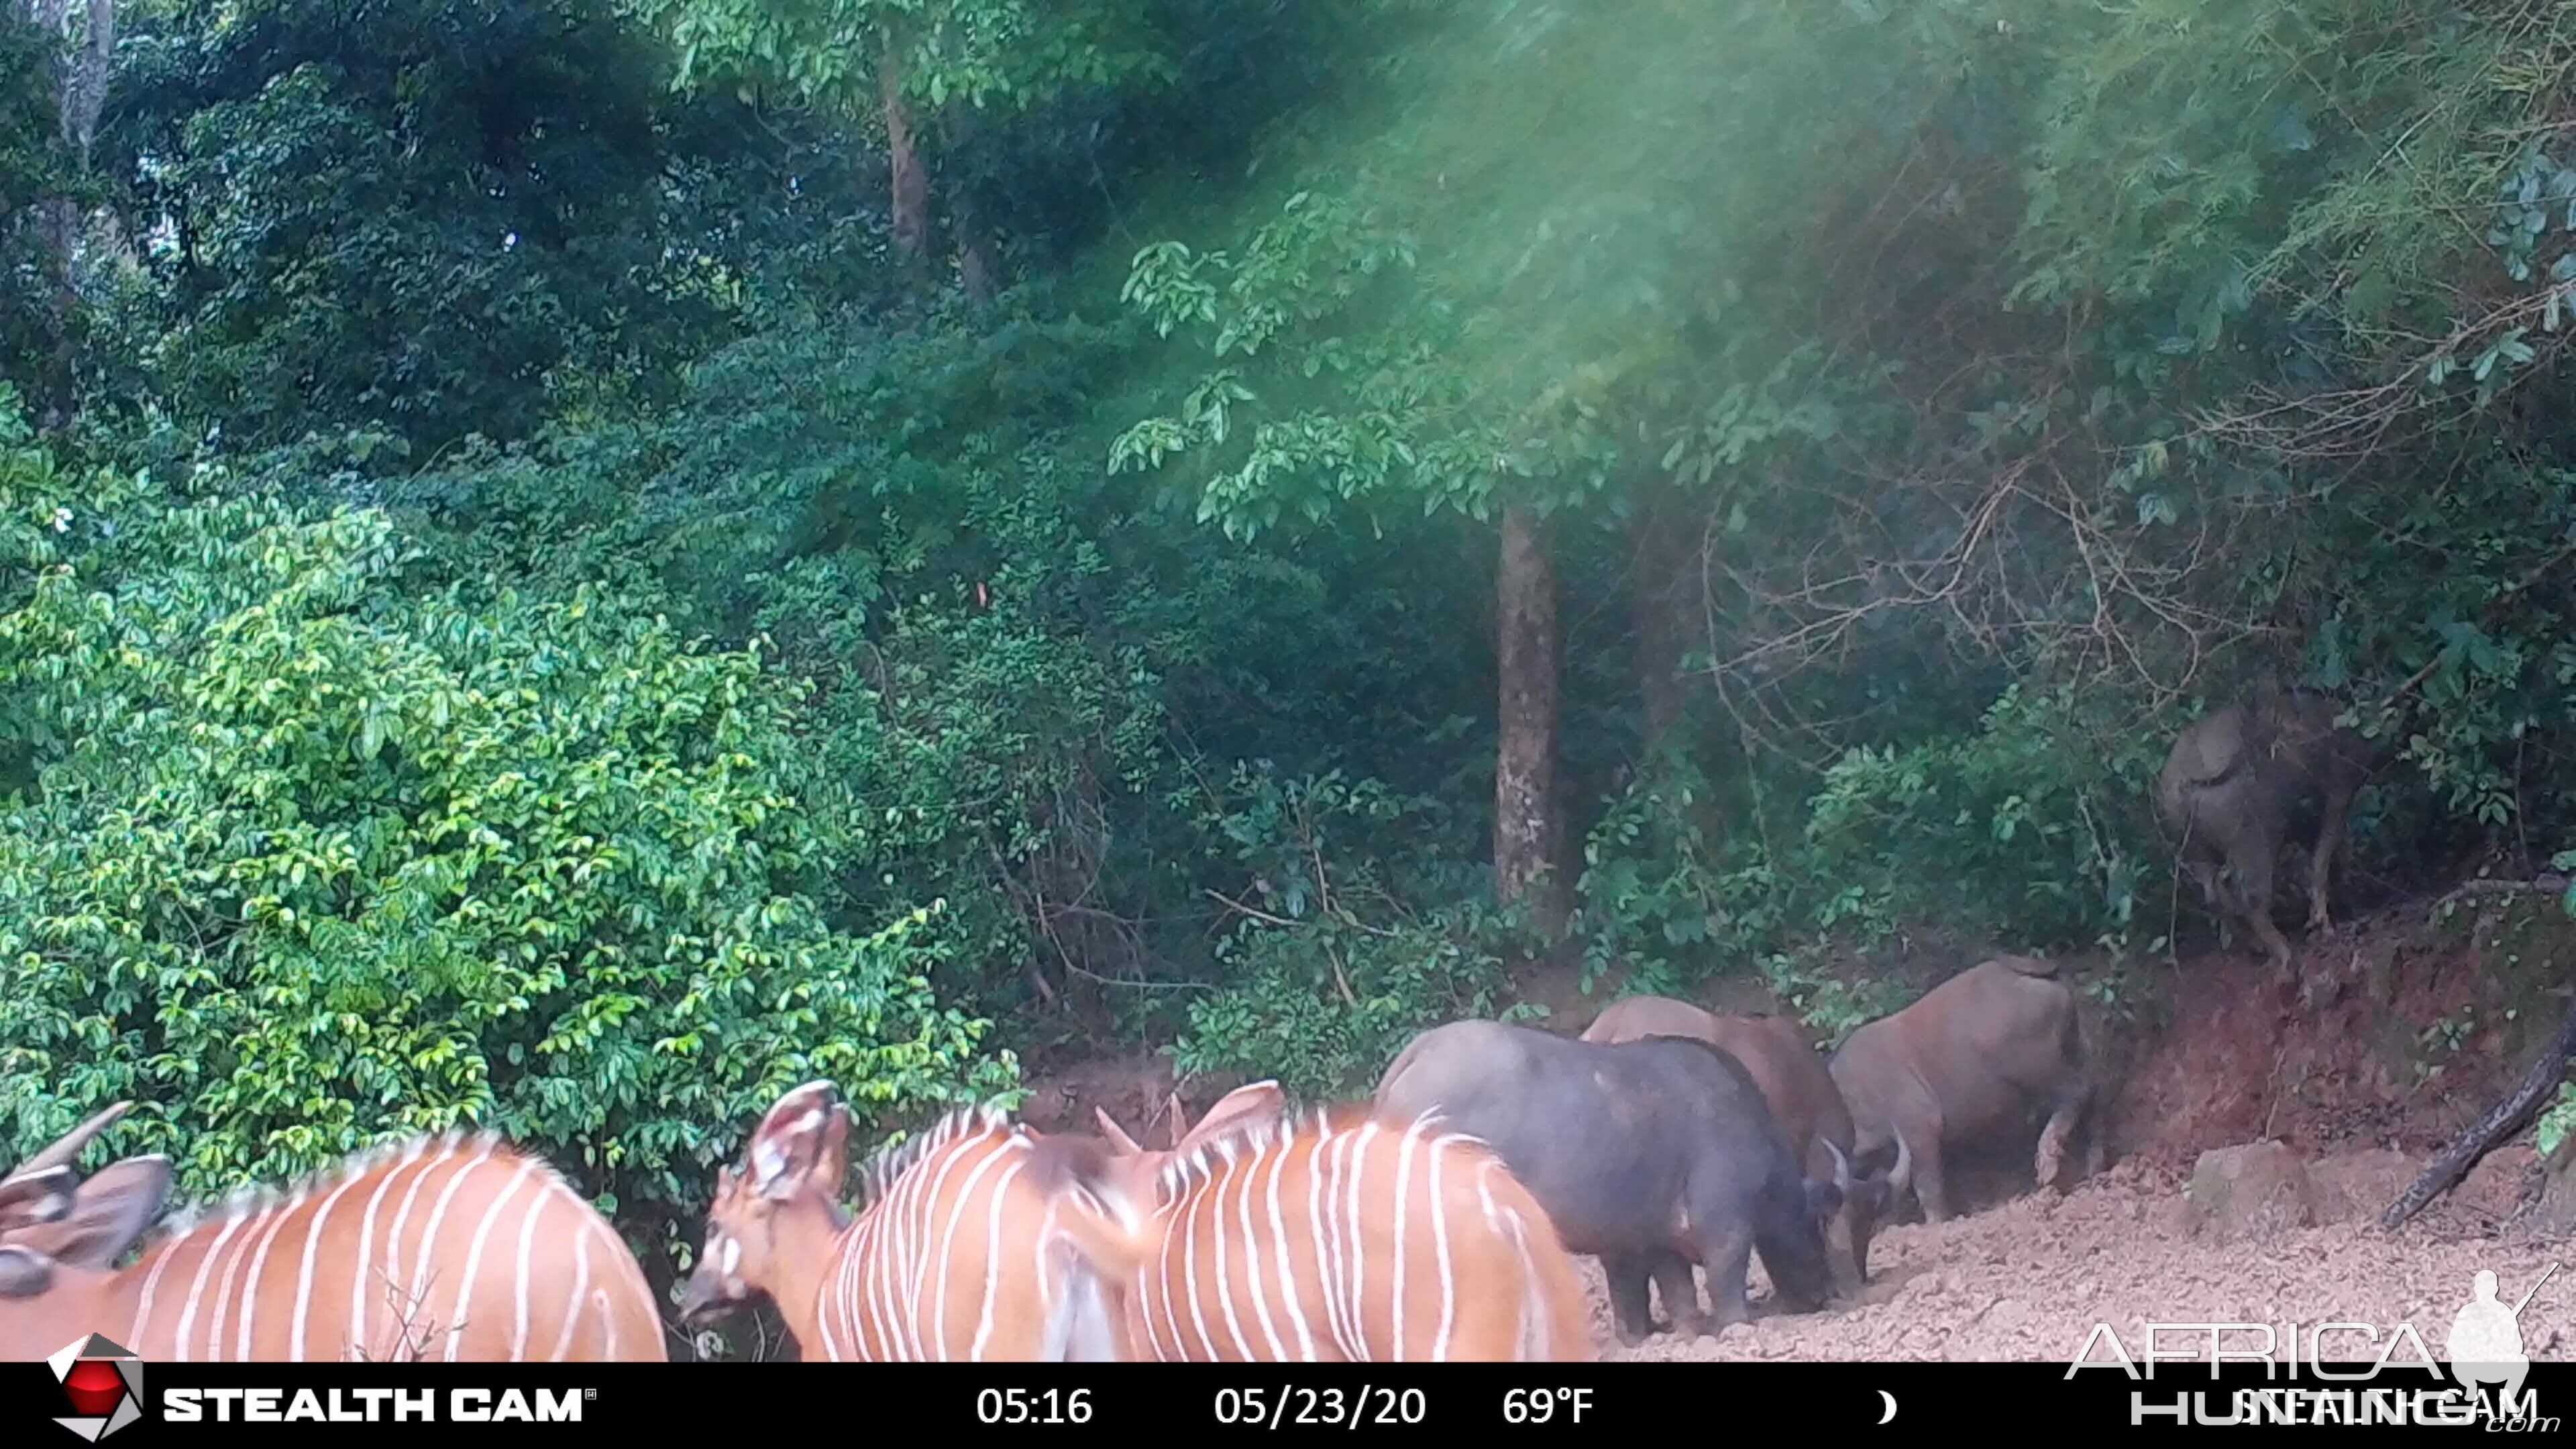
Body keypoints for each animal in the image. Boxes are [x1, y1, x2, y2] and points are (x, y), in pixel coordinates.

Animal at [1381, 1016, 1844, 1340]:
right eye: (1814, 1229)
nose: (1822, 1294)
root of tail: (1418, 1054)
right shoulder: (1724, 1226)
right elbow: (1724, 1277)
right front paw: (1737, 1328)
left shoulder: (1645, 1240)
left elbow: (1661, 1291)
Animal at [1823, 954, 2102, 1222]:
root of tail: (2025, 971)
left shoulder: (1919, 1128)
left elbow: (1927, 1186)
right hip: (2073, 1050)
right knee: (2093, 1094)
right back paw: (2094, 1167)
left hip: (2033, 1067)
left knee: (2076, 1093)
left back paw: (2048, 1164)